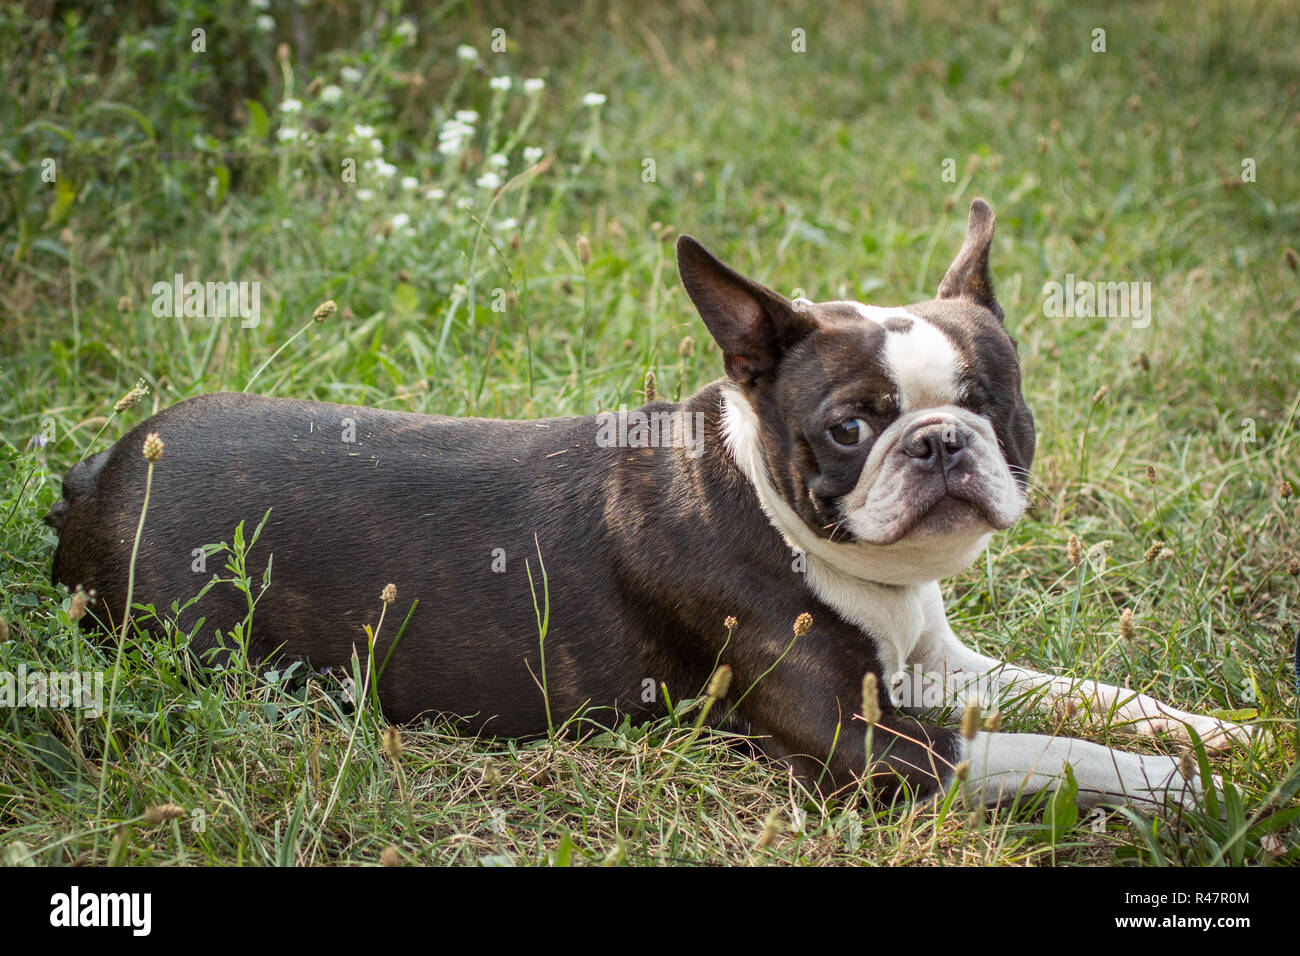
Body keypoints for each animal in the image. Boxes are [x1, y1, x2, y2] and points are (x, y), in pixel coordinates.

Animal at [48, 200, 1248, 806]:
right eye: (848, 428)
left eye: (990, 402)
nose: (942, 440)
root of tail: (101, 469)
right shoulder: (864, 745)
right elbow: (1056, 749)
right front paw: (1177, 784)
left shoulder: (938, 664)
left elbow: (1090, 695)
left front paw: (1225, 729)